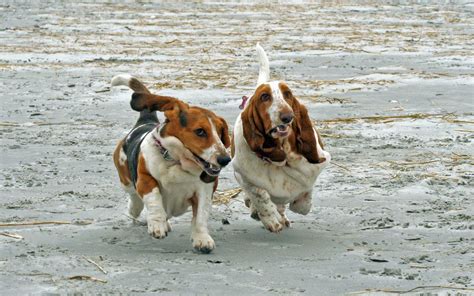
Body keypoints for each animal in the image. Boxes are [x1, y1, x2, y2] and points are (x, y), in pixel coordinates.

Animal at [111, 75, 230, 253]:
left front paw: (202, 239)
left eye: (221, 131)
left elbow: (200, 216)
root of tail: (144, 121)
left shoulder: (205, 189)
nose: (225, 159)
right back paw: (136, 209)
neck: (177, 162)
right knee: (133, 196)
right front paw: (157, 225)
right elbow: (154, 199)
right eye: (200, 131)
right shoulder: (145, 179)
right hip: (125, 180)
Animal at [231, 44, 330, 231]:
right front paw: (271, 219)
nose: (287, 117)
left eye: (288, 94)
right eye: (265, 97)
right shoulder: (242, 173)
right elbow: (259, 194)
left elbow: (302, 204)